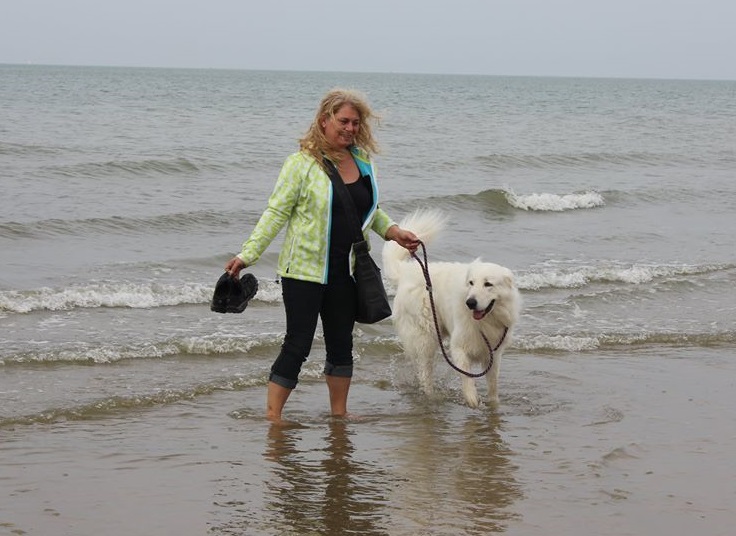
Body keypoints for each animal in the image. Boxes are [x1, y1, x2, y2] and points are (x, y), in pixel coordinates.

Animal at [382, 209, 521, 407]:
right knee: (424, 370)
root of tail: (407, 271)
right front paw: (472, 399)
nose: (470, 302)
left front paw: (493, 406)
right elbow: (467, 376)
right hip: (426, 336)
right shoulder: (459, 346)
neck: (487, 320)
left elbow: (493, 385)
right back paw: (430, 395)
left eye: (488, 284)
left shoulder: (494, 353)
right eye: (471, 283)